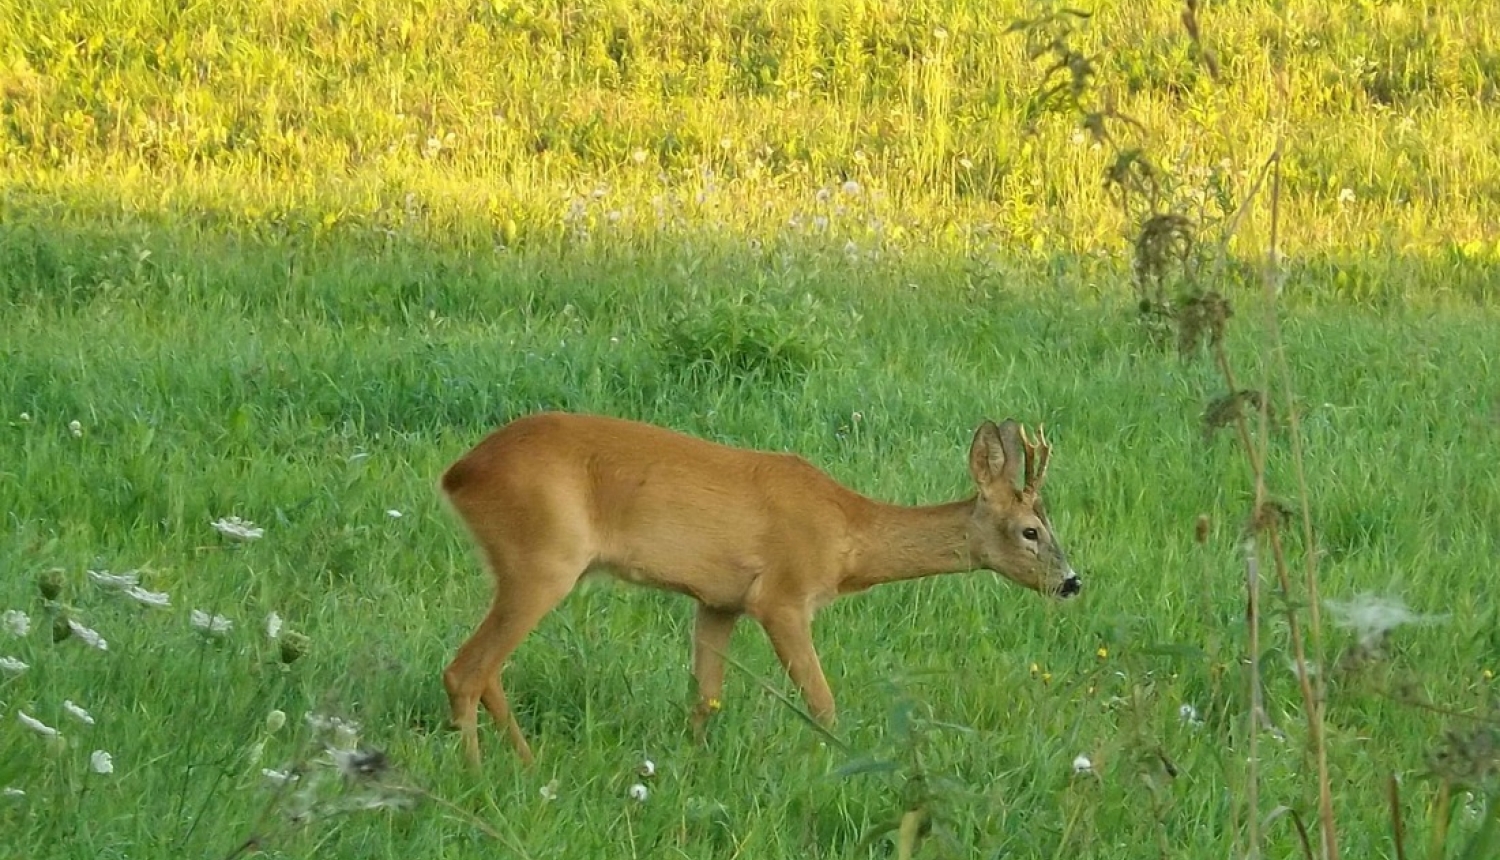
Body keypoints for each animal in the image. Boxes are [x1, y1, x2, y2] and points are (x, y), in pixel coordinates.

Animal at [438, 411, 1080, 765]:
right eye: (1030, 530)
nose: (1072, 581)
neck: (848, 535)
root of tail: (457, 474)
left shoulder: (717, 601)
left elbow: (705, 698)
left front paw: (694, 766)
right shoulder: (782, 597)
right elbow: (822, 701)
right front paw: (835, 766)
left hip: (517, 568)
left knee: (486, 669)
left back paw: (526, 763)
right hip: (544, 559)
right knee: (465, 669)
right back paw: (476, 773)